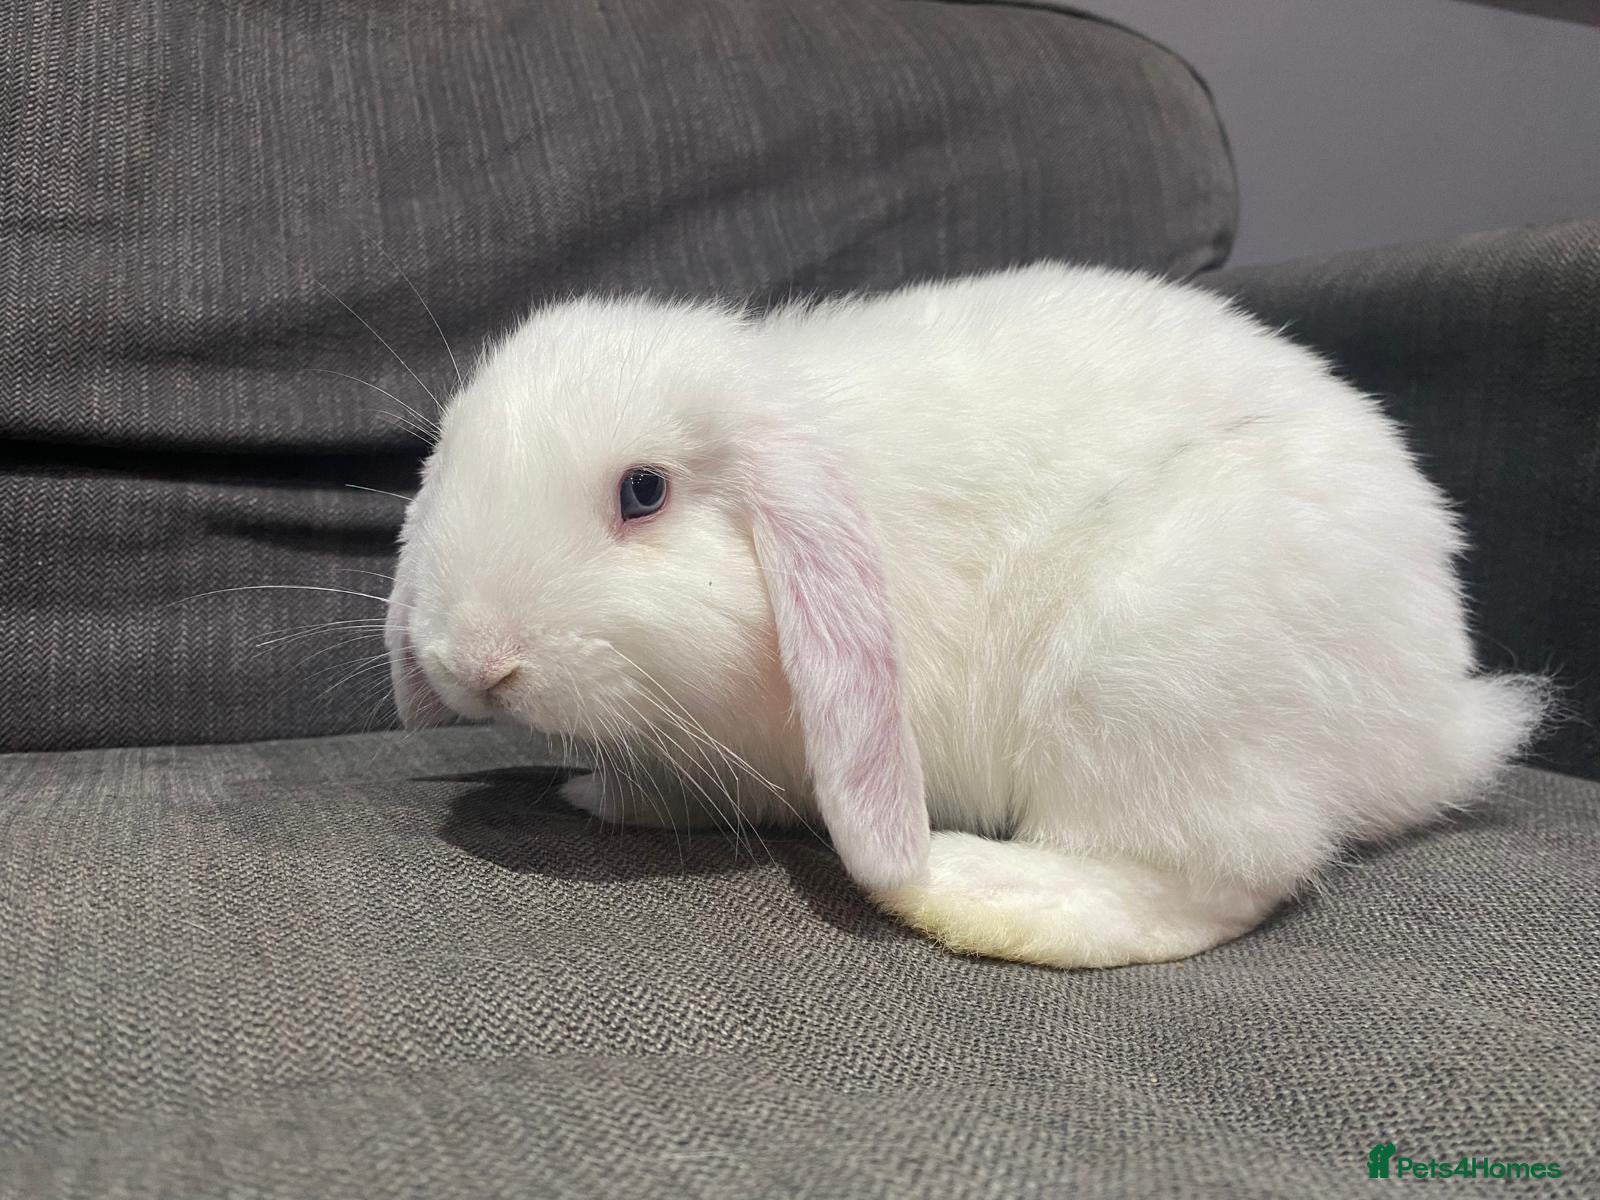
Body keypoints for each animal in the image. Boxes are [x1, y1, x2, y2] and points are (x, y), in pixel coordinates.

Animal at [385, 262, 1545, 969]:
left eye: (643, 492)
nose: (475, 662)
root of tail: (1430, 724)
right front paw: (595, 791)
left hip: (1148, 676)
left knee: (1210, 879)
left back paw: (964, 890)